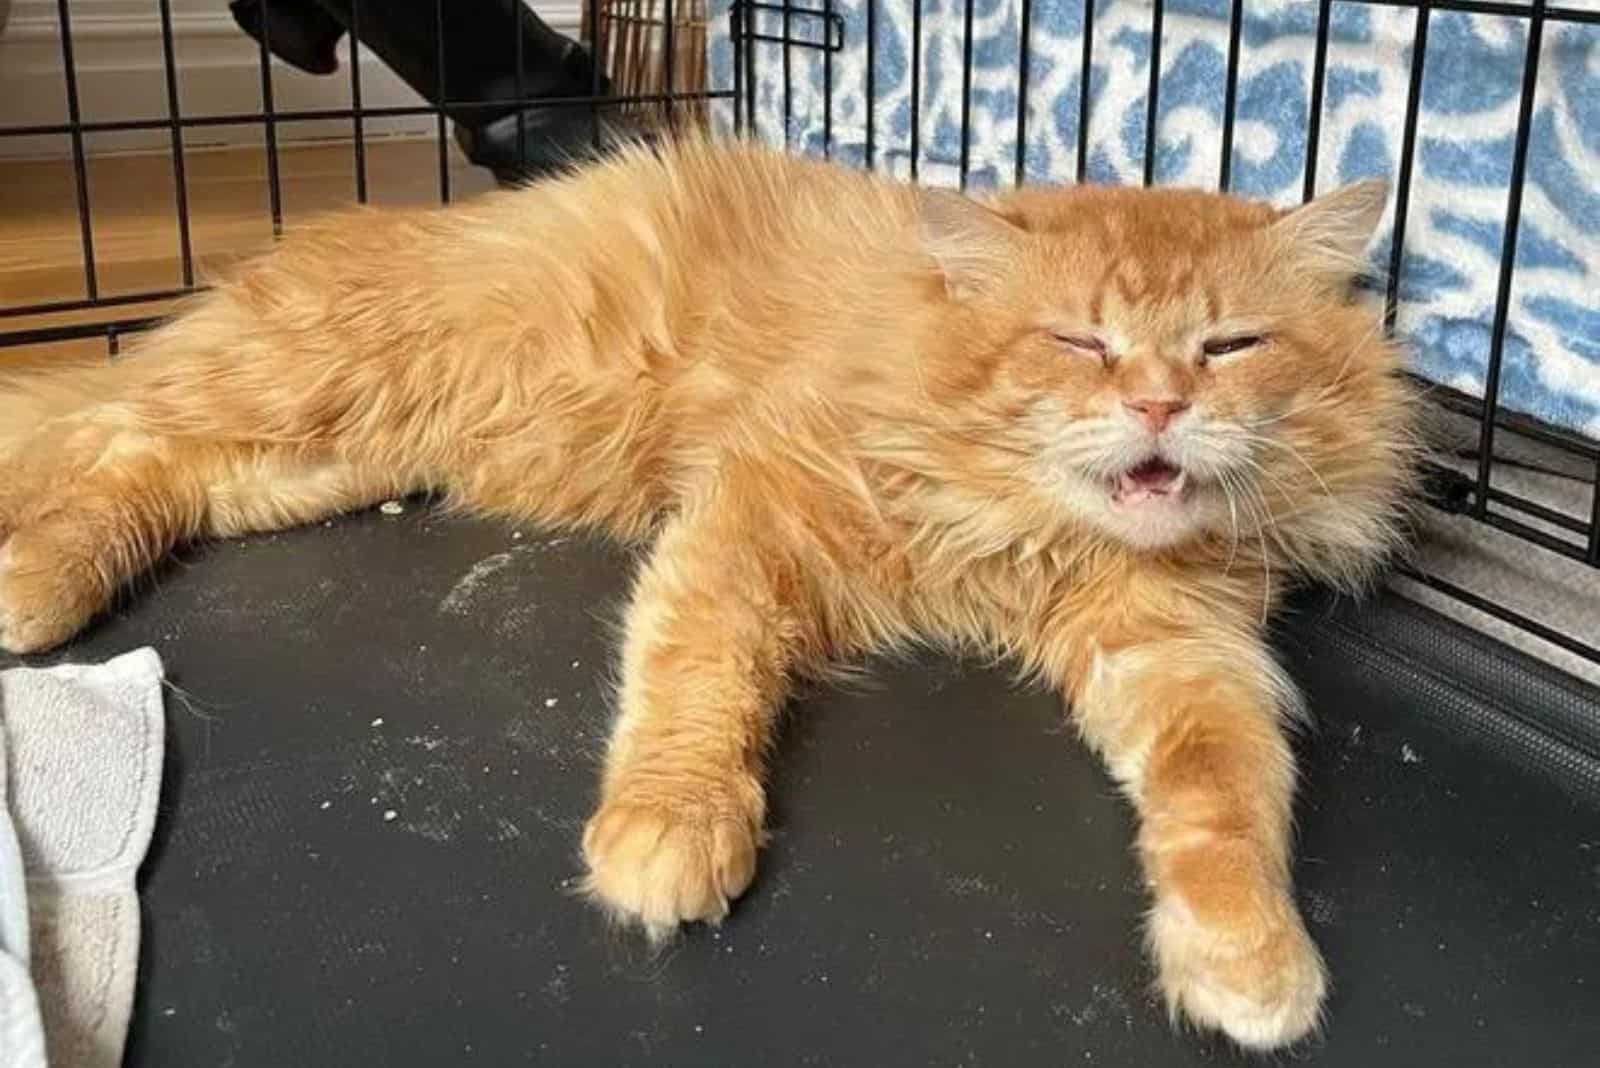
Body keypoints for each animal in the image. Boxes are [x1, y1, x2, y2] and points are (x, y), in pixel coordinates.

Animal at [0, 137, 1414, 1048]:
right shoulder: (750, 516)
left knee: (152, 469)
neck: (1019, 527)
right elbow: (697, 683)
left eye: (1229, 345)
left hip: (318, 461)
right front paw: (672, 831)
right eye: (1078, 341)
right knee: (94, 432)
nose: (1159, 406)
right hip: (303, 382)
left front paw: (1244, 954)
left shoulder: (1179, 646)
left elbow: (1225, 793)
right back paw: (27, 584)